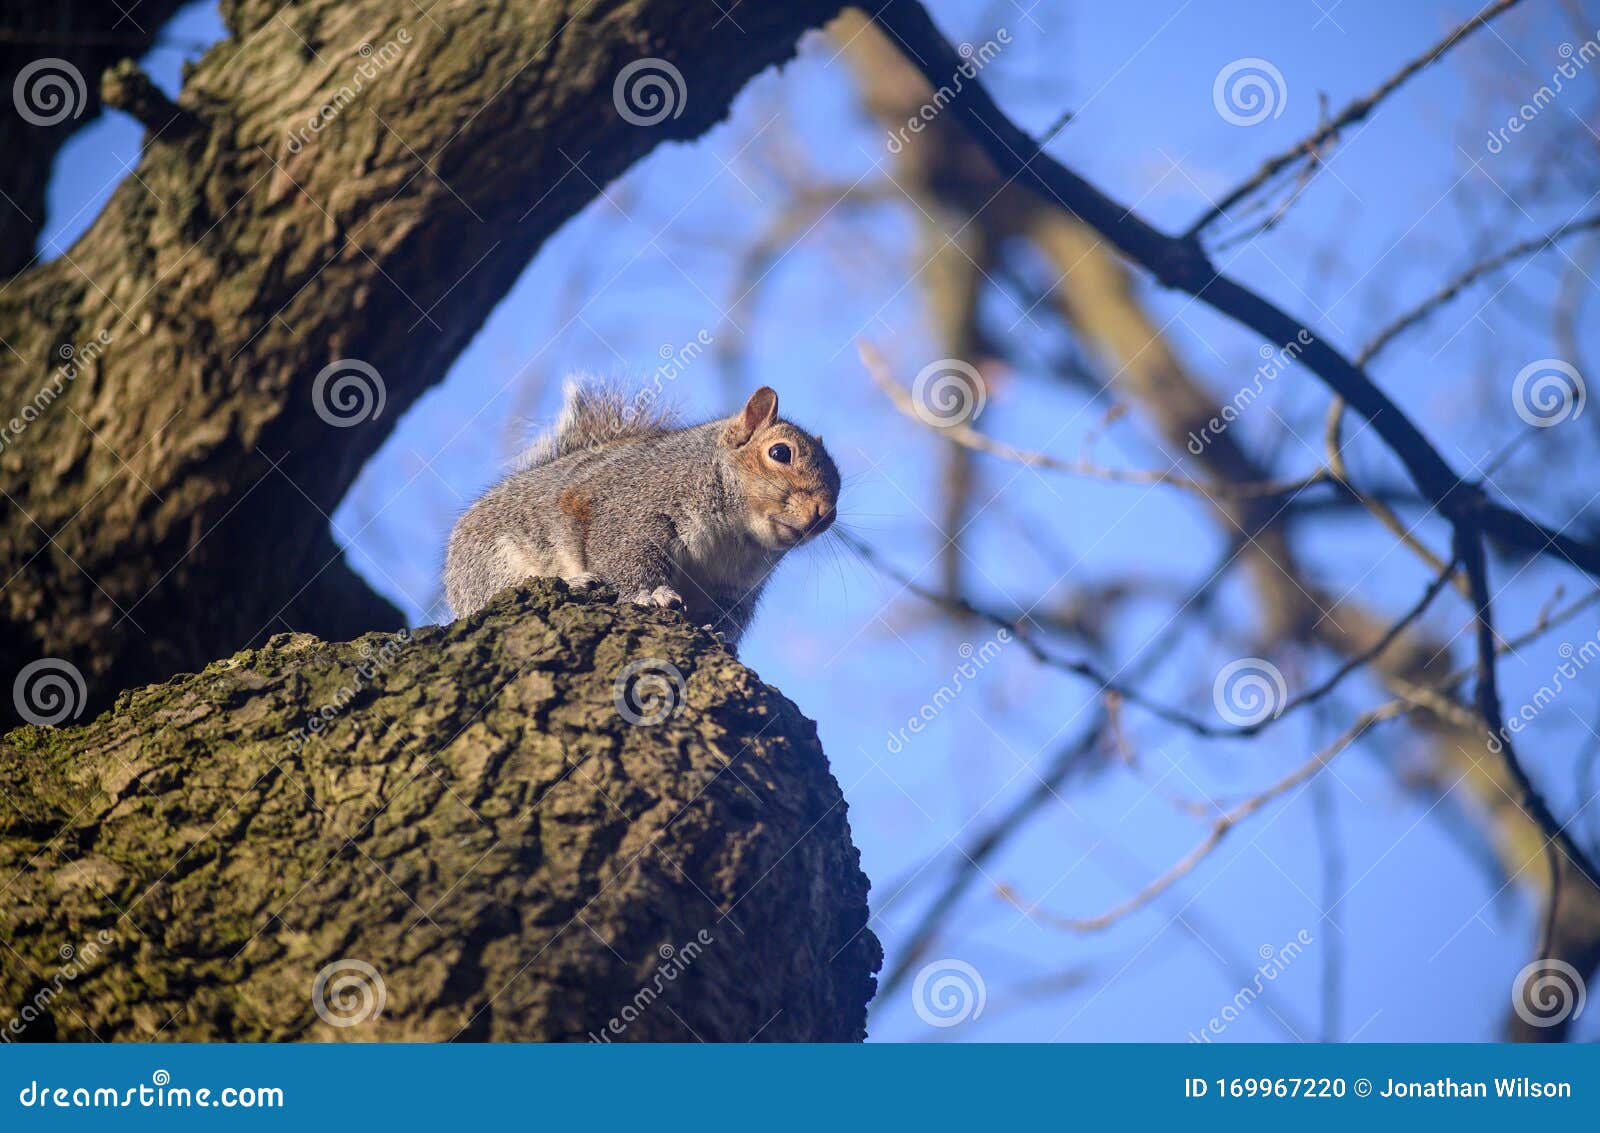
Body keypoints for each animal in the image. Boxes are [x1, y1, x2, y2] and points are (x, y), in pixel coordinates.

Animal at [438, 380, 838, 649]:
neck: (734, 535)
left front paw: (716, 634)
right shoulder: (633, 510)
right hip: (493, 562)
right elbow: (624, 556)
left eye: (838, 479)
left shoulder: (734, 587)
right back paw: (576, 581)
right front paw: (650, 595)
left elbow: (727, 615)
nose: (825, 514)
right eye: (780, 453)